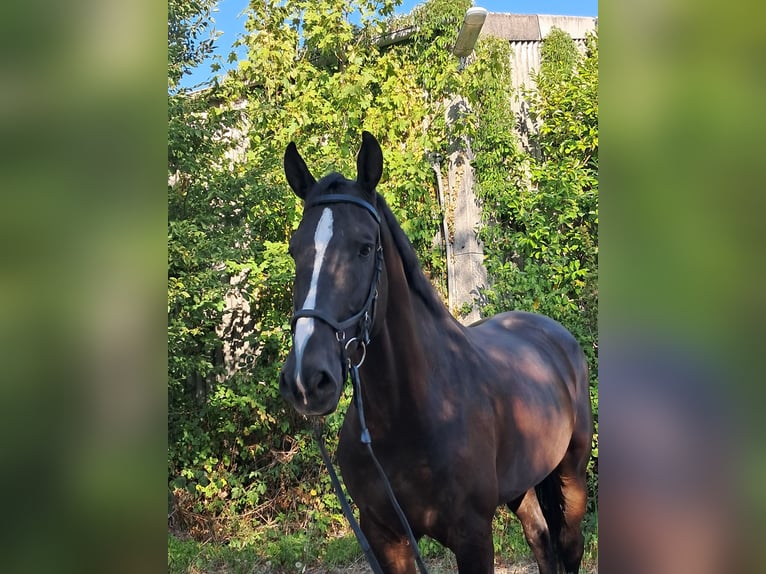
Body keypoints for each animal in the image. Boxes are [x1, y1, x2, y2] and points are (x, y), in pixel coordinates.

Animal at [278, 132, 593, 574]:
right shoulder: (385, 538)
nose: (307, 379)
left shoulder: (473, 537)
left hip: (572, 476)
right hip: (522, 485)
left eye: (364, 248)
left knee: (568, 545)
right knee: (540, 539)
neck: (408, 416)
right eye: (295, 250)